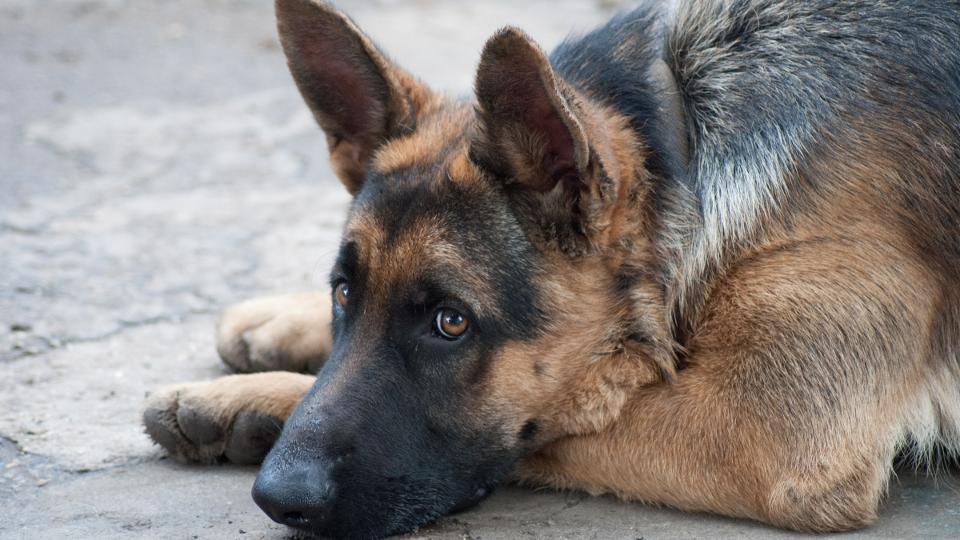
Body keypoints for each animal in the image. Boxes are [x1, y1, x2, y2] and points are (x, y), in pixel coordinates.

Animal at [141, 0, 960, 536]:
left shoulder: (768, 430)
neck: (684, 144)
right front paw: (272, 341)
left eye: (451, 323)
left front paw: (254, 399)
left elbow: (569, 415)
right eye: (344, 292)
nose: (277, 496)